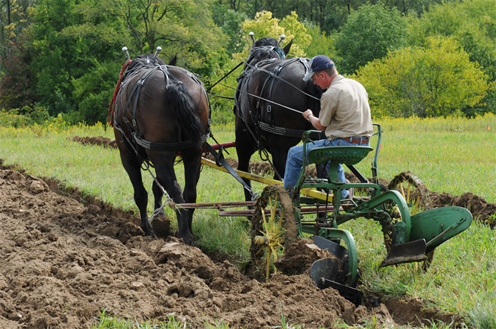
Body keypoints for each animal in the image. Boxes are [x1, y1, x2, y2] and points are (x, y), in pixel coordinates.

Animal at [110, 53, 209, 243]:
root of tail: (172, 83)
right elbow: (157, 186)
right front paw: (159, 218)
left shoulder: (127, 155)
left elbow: (140, 194)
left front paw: (148, 228)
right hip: (194, 151)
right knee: (189, 192)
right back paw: (189, 232)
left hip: (158, 153)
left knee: (175, 191)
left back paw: (184, 235)